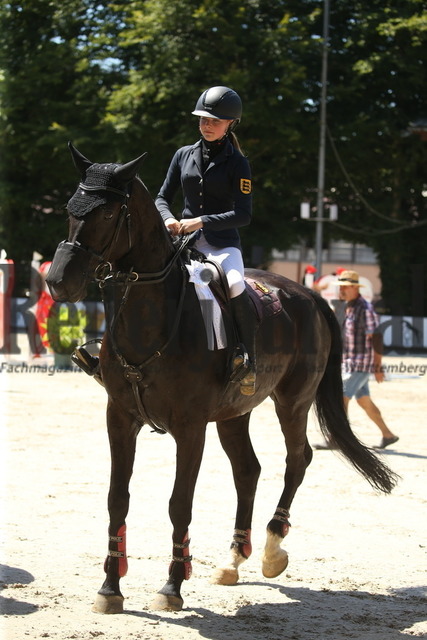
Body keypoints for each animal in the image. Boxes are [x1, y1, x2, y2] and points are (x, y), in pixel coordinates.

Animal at [46, 143, 397, 614]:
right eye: (70, 208)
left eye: (105, 213)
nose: (57, 281)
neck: (152, 318)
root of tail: (308, 294)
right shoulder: (119, 418)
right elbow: (116, 499)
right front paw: (110, 587)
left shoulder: (190, 427)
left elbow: (180, 503)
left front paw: (172, 585)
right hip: (234, 413)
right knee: (248, 470)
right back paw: (233, 558)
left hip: (293, 402)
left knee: (297, 459)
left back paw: (271, 548)